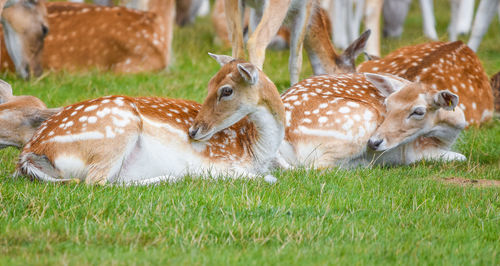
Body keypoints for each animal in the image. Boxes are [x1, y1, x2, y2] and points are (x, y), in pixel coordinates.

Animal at [15, 53, 286, 184]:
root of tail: (29, 153)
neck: (254, 150)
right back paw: (175, 177)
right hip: (117, 130)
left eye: (226, 90)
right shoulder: (220, 161)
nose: (193, 131)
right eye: (209, 85)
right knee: (96, 182)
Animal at [280, 72, 466, 168]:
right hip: (360, 120)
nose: (374, 142)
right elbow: (462, 157)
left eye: (419, 111)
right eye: (387, 103)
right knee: (317, 167)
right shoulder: (414, 151)